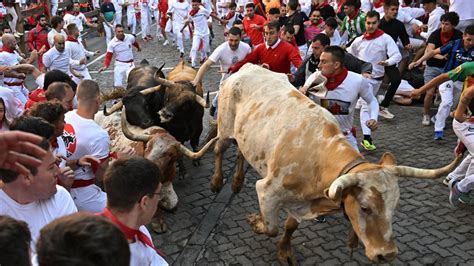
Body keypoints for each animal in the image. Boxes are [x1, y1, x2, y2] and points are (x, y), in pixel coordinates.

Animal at [210, 64, 460, 264]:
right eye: (365, 207)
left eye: (394, 206)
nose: (387, 254)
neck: (319, 160)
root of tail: (249, 67)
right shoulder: (268, 191)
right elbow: (271, 228)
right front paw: (256, 221)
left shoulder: (301, 202)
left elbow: (289, 227)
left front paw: (284, 251)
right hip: (225, 127)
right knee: (219, 149)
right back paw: (217, 181)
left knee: (242, 152)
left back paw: (237, 182)